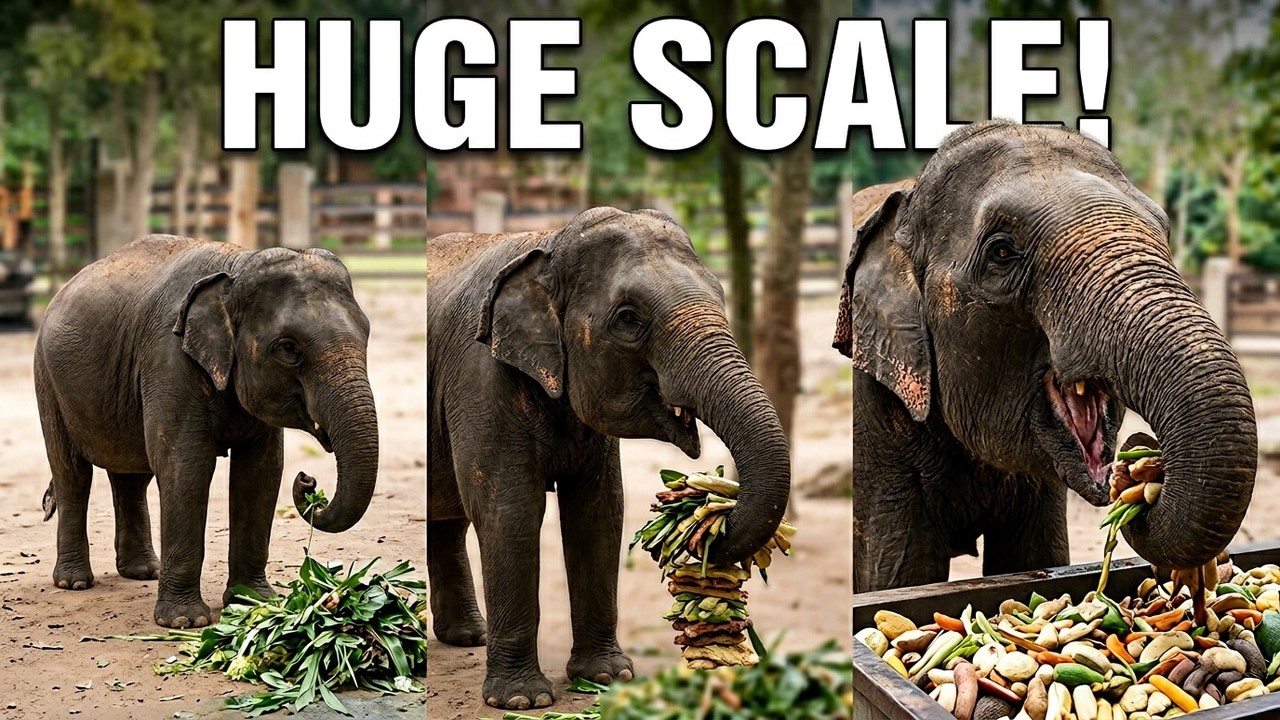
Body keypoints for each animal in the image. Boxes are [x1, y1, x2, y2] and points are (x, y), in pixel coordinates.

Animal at [34, 235, 379, 628]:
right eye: (289, 348)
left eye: (367, 334)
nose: (308, 481)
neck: (238, 265)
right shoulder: (168, 359)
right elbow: (186, 467)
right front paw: (184, 622)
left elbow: (261, 472)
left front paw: (254, 603)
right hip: (48, 381)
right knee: (72, 473)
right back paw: (74, 582)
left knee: (132, 476)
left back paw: (143, 573)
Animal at [427, 207, 790, 710]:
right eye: (629, 319)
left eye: (719, 294)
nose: (706, 530)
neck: (550, 242)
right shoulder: (481, 378)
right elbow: (510, 512)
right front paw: (522, 702)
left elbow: (599, 513)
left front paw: (607, 678)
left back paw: (468, 637)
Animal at [835, 120, 1257, 593]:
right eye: (1001, 252)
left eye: (1164, 232)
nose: (1143, 464)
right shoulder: (877, 416)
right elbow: (899, 572)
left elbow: (1036, 558)